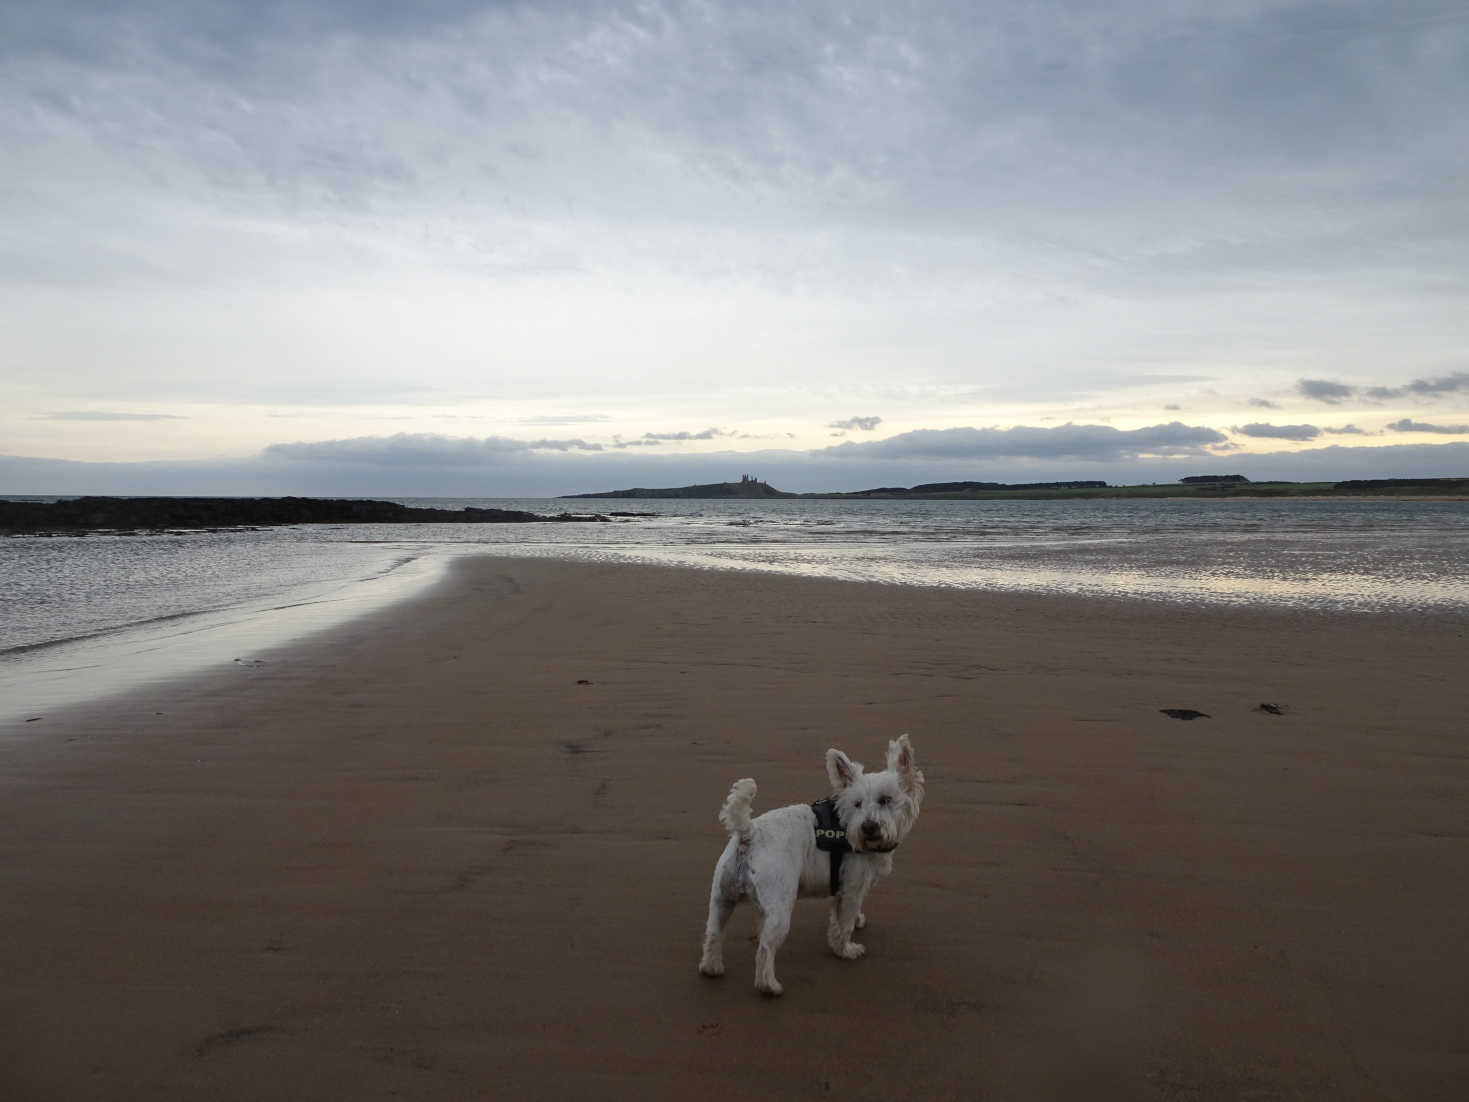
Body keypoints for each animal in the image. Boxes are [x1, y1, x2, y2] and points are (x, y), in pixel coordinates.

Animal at [696, 737, 922, 999]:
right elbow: (844, 924)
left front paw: (853, 925)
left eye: (885, 800)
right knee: (765, 949)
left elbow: (840, 919)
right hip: (781, 908)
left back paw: (712, 967)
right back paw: (769, 986)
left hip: (722, 898)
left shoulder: (842, 889)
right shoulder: (853, 889)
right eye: (857, 804)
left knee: (713, 933)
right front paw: (846, 950)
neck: (847, 827)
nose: (868, 827)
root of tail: (749, 832)